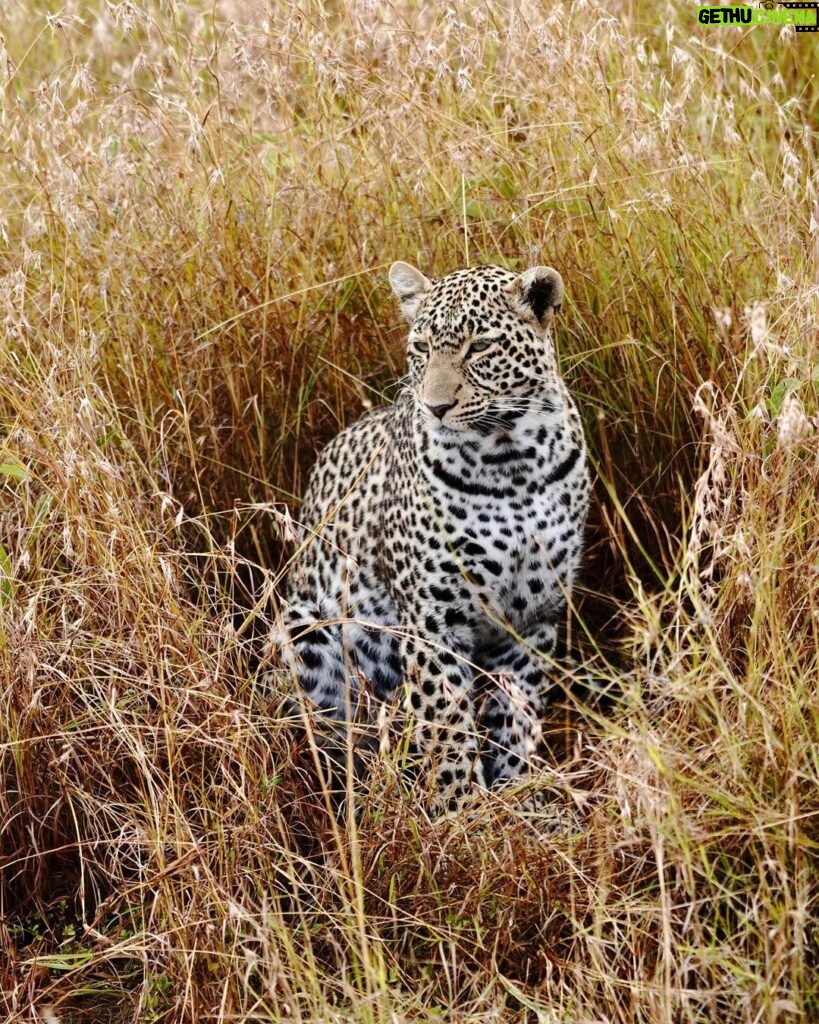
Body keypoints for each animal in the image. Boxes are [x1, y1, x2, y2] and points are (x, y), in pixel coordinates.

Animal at [278, 258, 593, 815]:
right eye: (422, 347)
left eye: (480, 347)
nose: (435, 407)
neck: (511, 462)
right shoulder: (433, 621)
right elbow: (446, 724)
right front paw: (459, 812)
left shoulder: (533, 618)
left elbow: (516, 712)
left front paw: (515, 793)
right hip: (301, 628)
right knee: (338, 742)